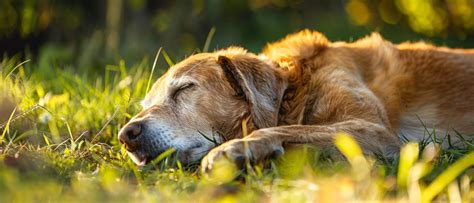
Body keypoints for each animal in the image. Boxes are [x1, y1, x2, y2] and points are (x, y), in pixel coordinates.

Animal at [116, 29, 472, 170]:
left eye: (184, 89)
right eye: (144, 106)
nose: (126, 135)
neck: (298, 87)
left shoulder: (375, 131)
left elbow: (283, 129)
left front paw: (236, 149)